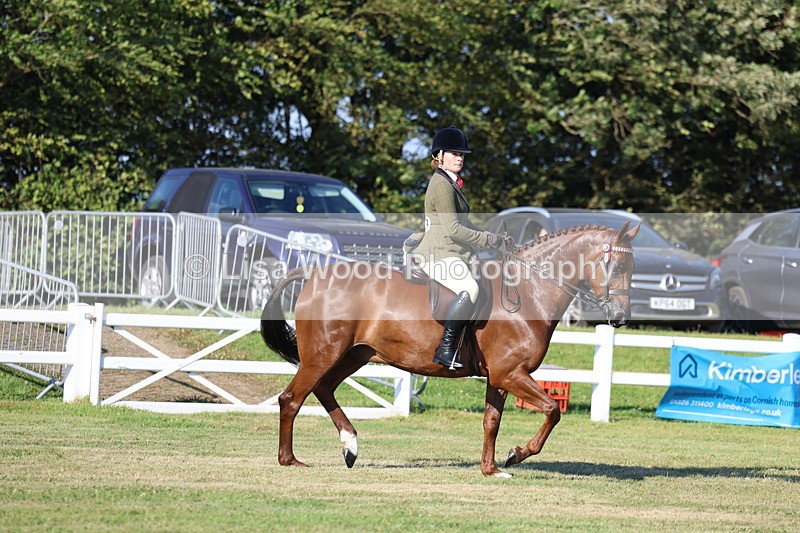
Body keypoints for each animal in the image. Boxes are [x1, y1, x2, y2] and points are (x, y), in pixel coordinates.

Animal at [260, 222, 639, 477]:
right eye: (619, 267)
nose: (620, 318)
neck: (528, 291)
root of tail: (314, 276)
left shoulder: (500, 377)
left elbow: (491, 420)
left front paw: (491, 469)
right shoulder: (511, 373)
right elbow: (551, 410)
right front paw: (517, 453)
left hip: (354, 355)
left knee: (324, 389)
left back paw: (350, 446)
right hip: (322, 355)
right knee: (292, 398)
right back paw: (290, 460)